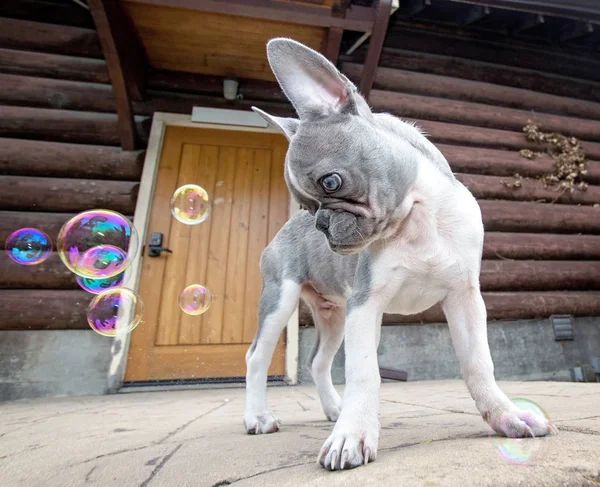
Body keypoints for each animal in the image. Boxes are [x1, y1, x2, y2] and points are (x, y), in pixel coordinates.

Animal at [243, 36, 552, 470]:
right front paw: (353, 436)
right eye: (305, 207)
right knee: (256, 357)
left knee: (318, 361)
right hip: (280, 299)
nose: (320, 224)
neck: (417, 220)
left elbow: (478, 364)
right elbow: (364, 373)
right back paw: (258, 417)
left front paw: (506, 416)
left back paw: (334, 409)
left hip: (334, 315)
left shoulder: (465, 299)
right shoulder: (365, 304)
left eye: (331, 183)